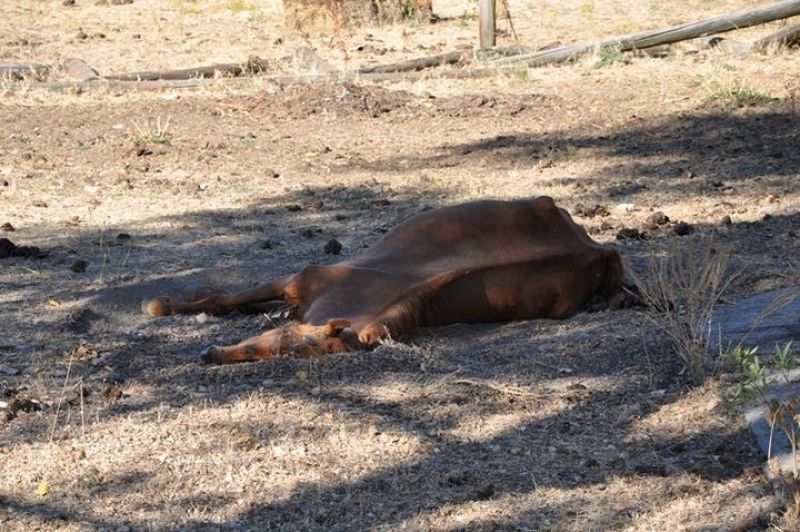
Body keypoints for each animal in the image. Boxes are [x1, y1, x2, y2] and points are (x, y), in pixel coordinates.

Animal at [144, 197, 632, 364]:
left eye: (289, 352)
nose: (211, 356)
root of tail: (596, 248)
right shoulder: (298, 281)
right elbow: (225, 298)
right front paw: (162, 305)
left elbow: (226, 299)